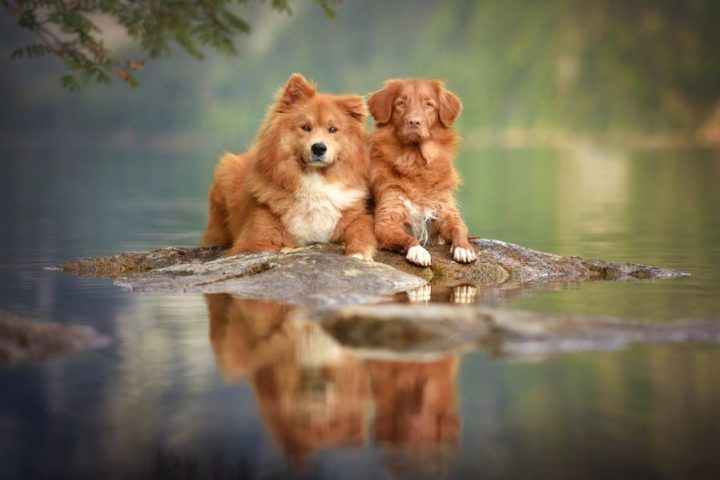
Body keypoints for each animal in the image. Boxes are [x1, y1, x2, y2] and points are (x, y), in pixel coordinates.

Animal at [201, 73, 374, 258]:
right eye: (305, 127)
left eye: (333, 129)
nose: (319, 148)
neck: (314, 179)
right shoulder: (255, 239)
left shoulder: (355, 217)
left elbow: (361, 231)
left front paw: (358, 254)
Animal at [368, 78, 476, 266]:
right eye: (401, 103)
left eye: (428, 104)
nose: (414, 122)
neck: (415, 163)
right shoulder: (385, 222)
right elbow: (406, 237)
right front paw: (418, 251)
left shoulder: (445, 212)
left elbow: (459, 228)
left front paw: (464, 248)